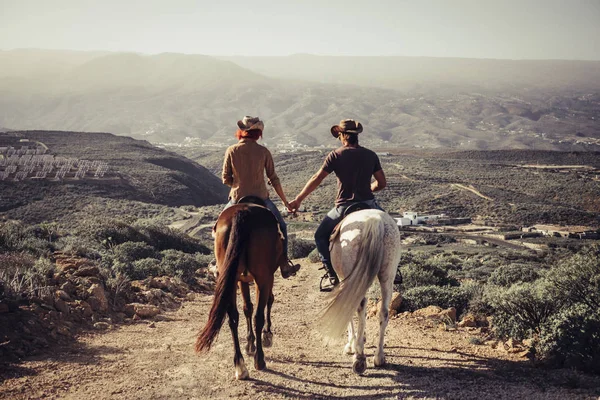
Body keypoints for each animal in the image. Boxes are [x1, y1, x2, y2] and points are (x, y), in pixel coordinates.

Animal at [196, 203, 282, 382]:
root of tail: (243, 212)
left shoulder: (242, 280)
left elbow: (246, 308)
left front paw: (250, 343)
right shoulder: (265, 278)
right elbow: (267, 302)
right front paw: (266, 336)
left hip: (231, 276)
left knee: (233, 318)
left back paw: (240, 366)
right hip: (262, 277)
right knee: (258, 316)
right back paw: (259, 360)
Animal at [316, 209, 400, 376]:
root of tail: (375, 221)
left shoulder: (344, 281)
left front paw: (351, 345)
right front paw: (362, 338)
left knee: (358, 306)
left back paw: (359, 357)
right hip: (388, 275)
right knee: (383, 312)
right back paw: (379, 356)